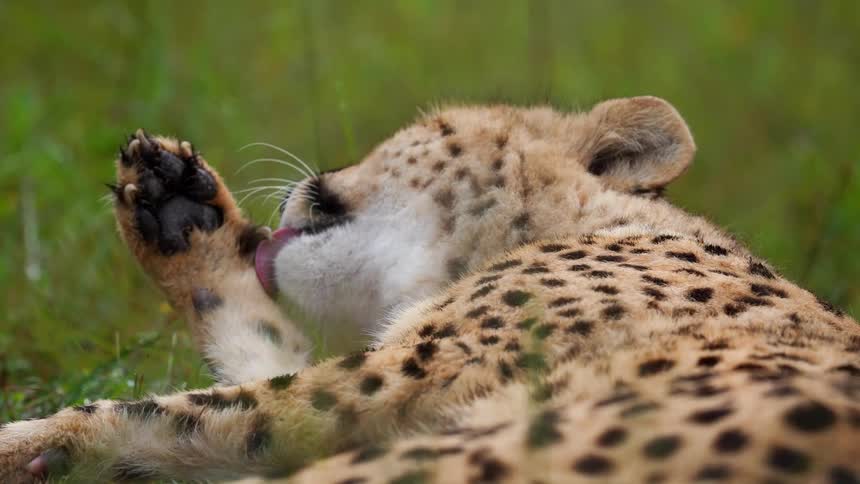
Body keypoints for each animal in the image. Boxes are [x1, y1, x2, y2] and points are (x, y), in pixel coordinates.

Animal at [1, 96, 858, 484]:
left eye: (412, 131)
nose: (307, 184)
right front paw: (178, 211)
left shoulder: (394, 382)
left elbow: (168, 411)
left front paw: (23, 441)